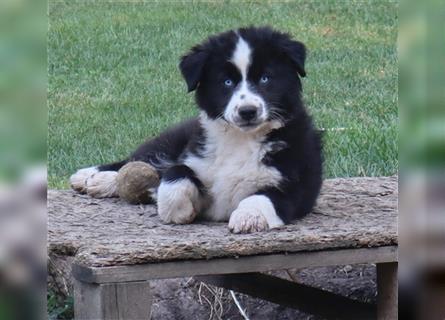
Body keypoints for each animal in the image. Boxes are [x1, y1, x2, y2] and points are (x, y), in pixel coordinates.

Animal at [69, 26, 320, 234]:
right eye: (227, 82)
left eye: (266, 78)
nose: (247, 111)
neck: (240, 139)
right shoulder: (195, 158)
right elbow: (176, 173)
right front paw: (178, 210)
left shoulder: (294, 185)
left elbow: (262, 198)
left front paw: (248, 217)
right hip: (174, 139)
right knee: (144, 159)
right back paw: (93, 176)